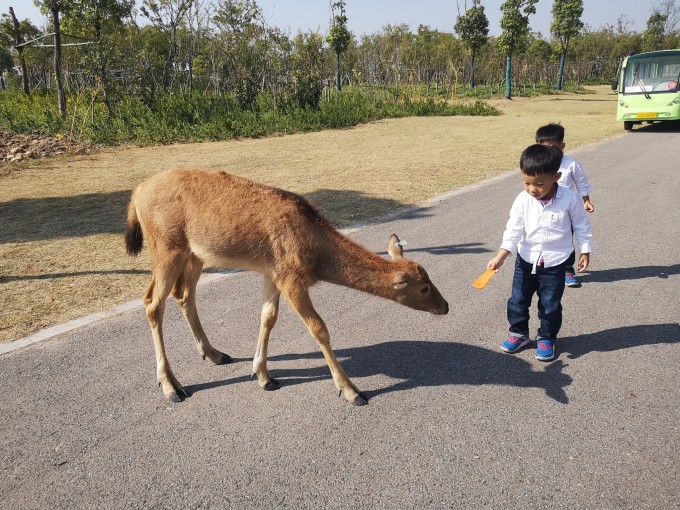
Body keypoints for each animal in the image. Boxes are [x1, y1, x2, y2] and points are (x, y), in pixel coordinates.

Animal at [125, 168, 448, 406]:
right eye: (424, 288)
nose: (445, 306)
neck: (316, 255)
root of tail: (136, 194)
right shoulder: (292, 276)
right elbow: (318, 328)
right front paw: (351, 391)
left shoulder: (273, 272)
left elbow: (267, 317)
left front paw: (263, 376)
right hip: (166, 247)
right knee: (152, 302)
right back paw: (171, 385)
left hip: (194, 254)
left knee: (183, 295)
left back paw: (215, 354)